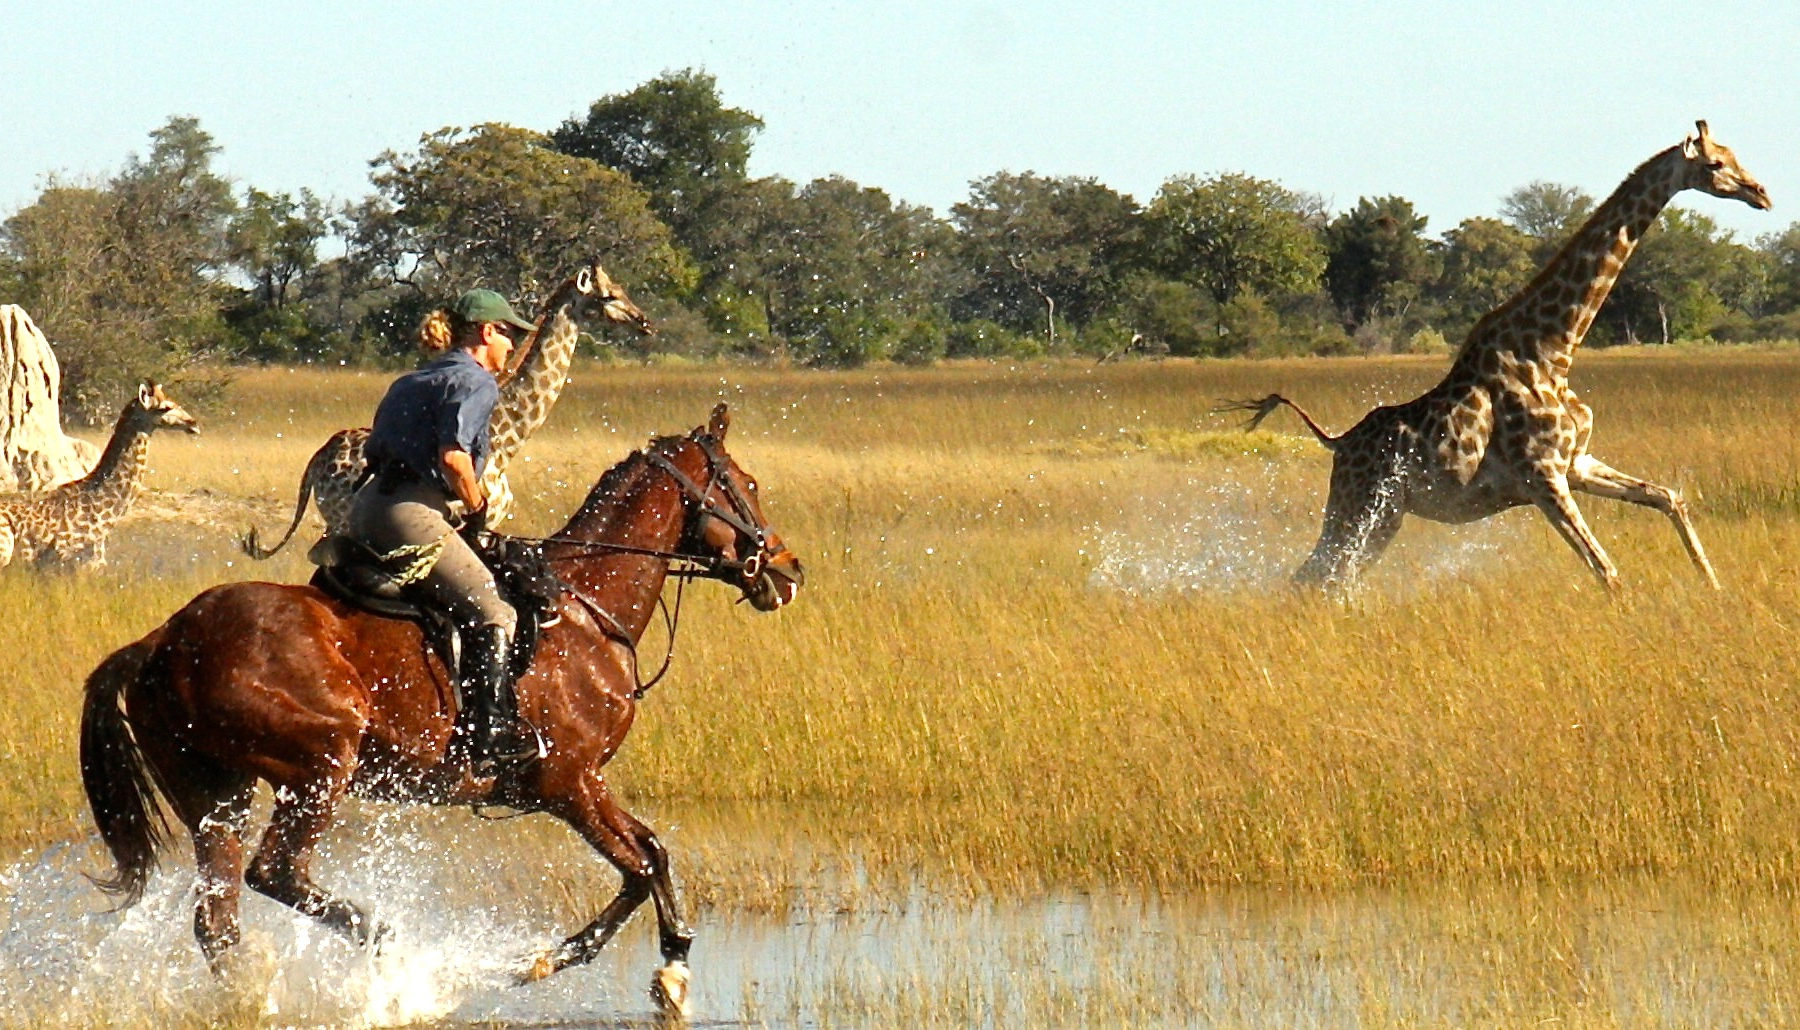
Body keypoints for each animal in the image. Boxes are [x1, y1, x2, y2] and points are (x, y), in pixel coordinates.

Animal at [79, 405, 802, 1022]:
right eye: (746, 484)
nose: (788, 570)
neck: (585, 609)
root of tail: (162, 639)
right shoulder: (566, 783)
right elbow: (640, 865)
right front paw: (573, 965)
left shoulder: (583, 782)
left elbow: (651, 852)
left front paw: (662, 964)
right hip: (319, 766)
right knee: (275, 873)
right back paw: (390, 954)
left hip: (214, 791)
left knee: (218, 917)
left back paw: (255, 996)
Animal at [243, 261, 655, 558]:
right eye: (610, 295)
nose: (644, 321)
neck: (510, 439)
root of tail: (317, 459)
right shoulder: (477, 520)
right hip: (344, 517)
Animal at [1224, 121, 1771, 590]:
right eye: (1715, 164)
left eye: (1736, 155)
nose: (1761, 193)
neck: (1555, 350)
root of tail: (1336, 442)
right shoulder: (1543, 476)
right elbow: (1608, 573)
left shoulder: (1577, 464)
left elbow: (1669, 498)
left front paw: (1713, 586)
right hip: (1356, 507)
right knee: (1313, 579)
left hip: (1384, 517)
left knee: (1326, 580)